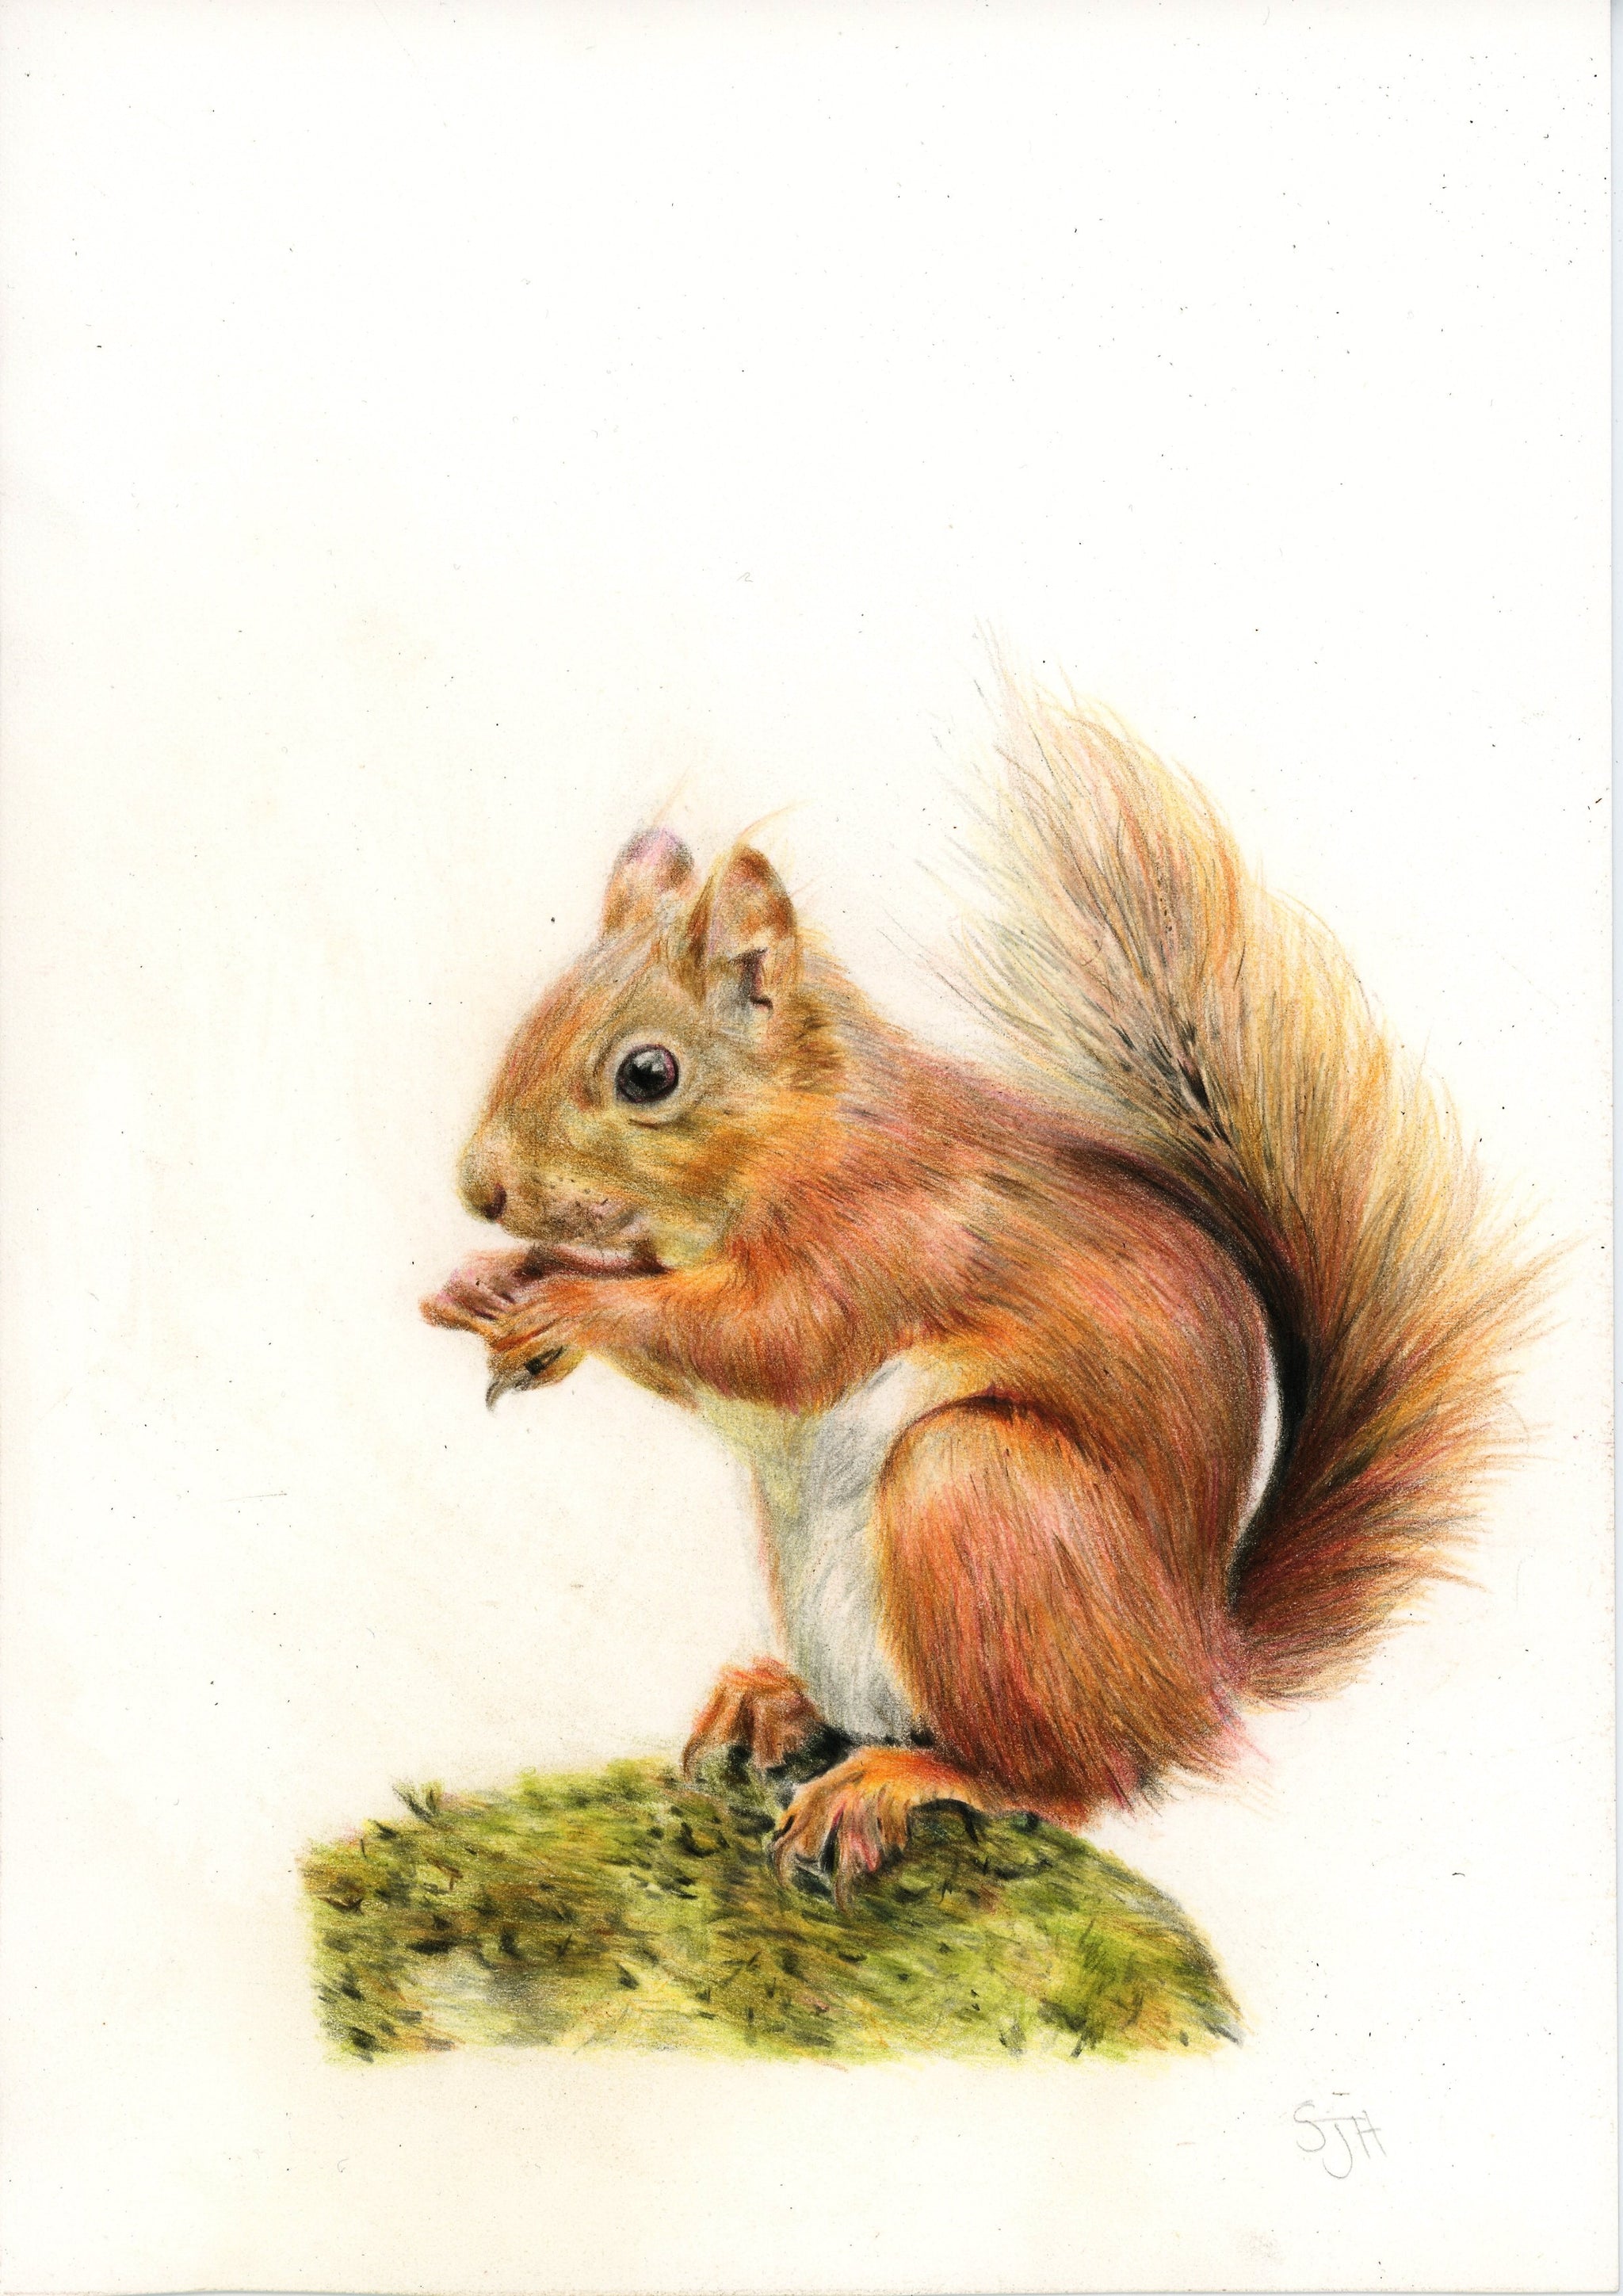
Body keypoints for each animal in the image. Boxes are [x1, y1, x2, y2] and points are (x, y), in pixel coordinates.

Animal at [423, 684, 1540, 1898]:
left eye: (648, 1074)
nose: (480, 1188)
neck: (811, 1125)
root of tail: (1195, 1674)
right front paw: (491, 1288)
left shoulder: (882, 1237)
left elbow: (763, 1340)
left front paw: (569, 1307)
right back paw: (775, 1705)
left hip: (981, 1500)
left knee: (1068, 1780)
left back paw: (901, 1781)